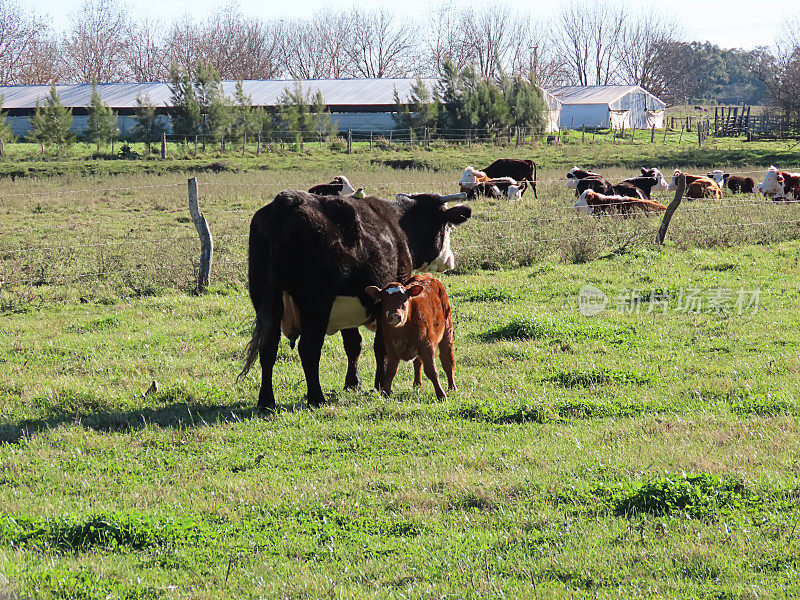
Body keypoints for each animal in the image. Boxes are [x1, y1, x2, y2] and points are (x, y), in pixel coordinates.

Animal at [241, 190, 472, 410]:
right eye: (448, 226)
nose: (450, 260)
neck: (398, 225)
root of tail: (286, 201)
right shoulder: (383, 304)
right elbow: (380, 346)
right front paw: (379, 384)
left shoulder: (346, 308)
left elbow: (353, 344)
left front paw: (352, 383)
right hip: (316, 305)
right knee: (308, 349)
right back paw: (316, 398)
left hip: (265, 300)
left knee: (268, 348)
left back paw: (266, 401)